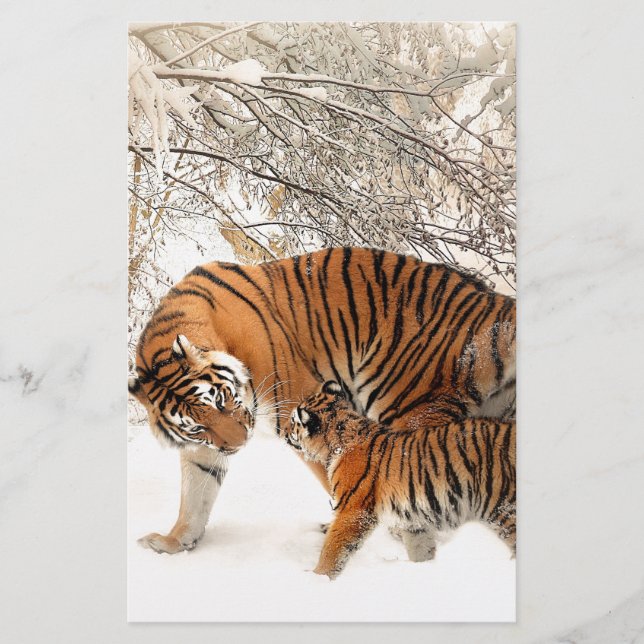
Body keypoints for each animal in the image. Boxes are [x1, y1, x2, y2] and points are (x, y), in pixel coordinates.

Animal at [128, 247, 515, 554]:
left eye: (222, 399)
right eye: (196, 427)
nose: (240, 445)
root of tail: (492, 306)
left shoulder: (299, 410)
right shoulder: (205, 447)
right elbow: (196, 493)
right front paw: (174, 542)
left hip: (409, 405)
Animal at [286, 381, 516, 579]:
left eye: (293, 422)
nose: (286, 434)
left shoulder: (353, 511)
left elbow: (333, 548)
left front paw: (317, 577)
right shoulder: (414, 519)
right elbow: (420, 548)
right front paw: (423, 569)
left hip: (503, 509)